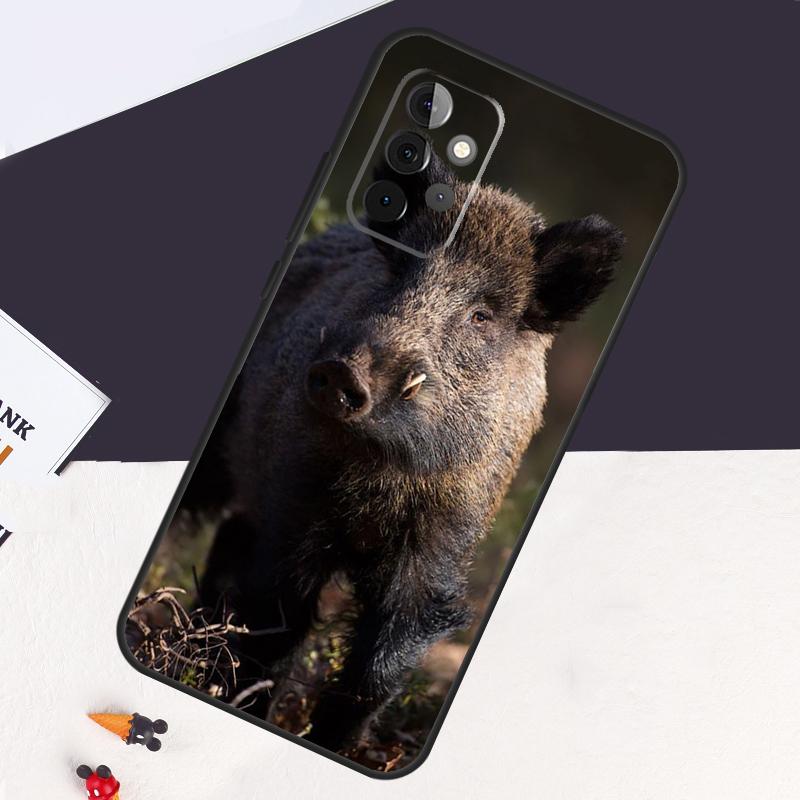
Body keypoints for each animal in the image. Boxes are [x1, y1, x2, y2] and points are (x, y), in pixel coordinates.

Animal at [193, 157, 624, 751]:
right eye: (399, 274)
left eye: (482, 315)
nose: (342, 370)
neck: (383, 478)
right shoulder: (295, 501)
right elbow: (278, 620)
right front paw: (245, 703)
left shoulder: (443, 544)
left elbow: (381, 662)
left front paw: (335, 746)